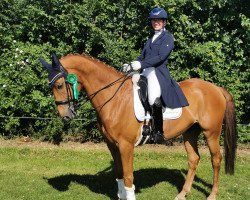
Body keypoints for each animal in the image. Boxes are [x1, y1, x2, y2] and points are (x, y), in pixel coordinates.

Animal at [39, 53, 236, 200]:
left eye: (59, 85)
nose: (66, 115)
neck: (114, 97)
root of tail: (216, 88)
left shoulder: (126, 146)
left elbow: (128, 176)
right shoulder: (113, 145)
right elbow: (119, 173)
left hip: (211, 132)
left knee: (216, 159)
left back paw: (212, 194)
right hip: (190, 133)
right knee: (194, 159)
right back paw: (182, 194)